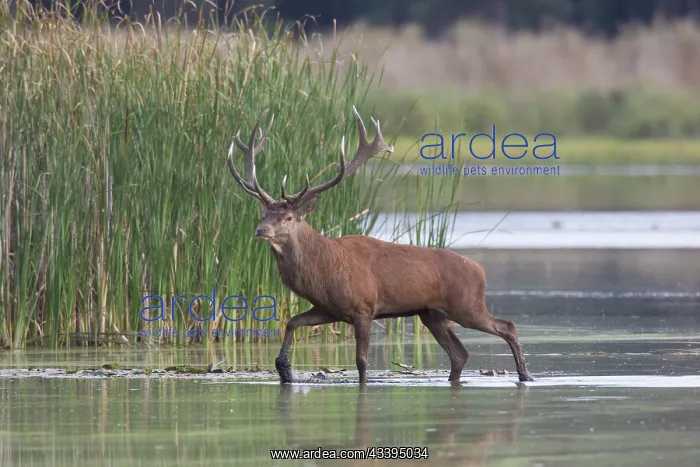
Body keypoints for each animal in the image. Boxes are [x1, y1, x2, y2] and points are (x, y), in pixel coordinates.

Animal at [226, 106, 534, 384]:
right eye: (264, 214)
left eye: (288, 217)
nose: (261, 230)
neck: (322, 270)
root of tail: (480, 270)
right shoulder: (327, 309)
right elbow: (291, 322)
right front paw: (285, 369)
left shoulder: (363, 308)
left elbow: (361, 362)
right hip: (432, 314)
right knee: (460, 353)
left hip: (467, 304)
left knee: (507, 326)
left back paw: (525, 374)